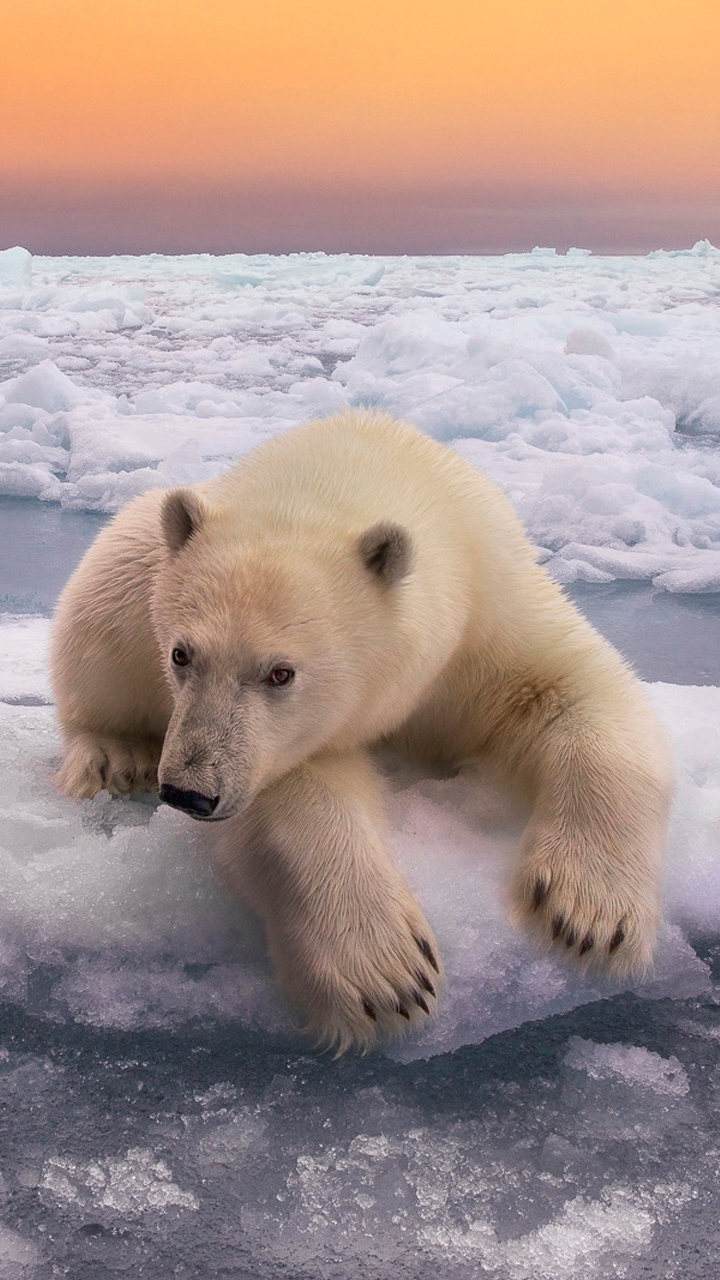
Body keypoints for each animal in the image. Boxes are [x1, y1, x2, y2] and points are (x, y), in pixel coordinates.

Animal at [50, 410, 674, 1053]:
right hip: (136, 570)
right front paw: (386, 971)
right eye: (181, 654)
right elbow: (297, 790)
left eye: (280, 672)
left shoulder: (491, 611)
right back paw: (114, 755)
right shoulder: (283, 738)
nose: (188, 790)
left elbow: (573, 693)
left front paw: (588, 913)